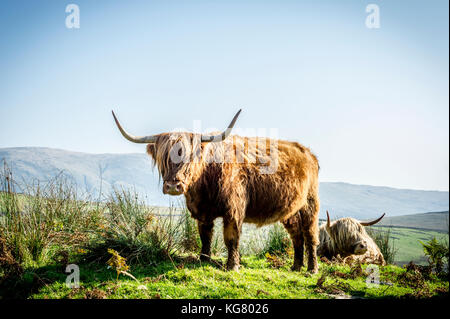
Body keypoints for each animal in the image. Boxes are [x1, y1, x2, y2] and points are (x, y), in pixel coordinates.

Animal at [112, 110, 324, 272]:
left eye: (188, 158)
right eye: (163, 159)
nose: (173, 186)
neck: (204, 183)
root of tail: (308, 152)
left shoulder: (234, 210)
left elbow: (231, 238)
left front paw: (232, 266)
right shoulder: (202, 211)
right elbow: (205, 236)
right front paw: (203, 259)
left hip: (310, 203)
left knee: (310, 234)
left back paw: (311, 269)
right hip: (291, 209)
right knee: (296, 234)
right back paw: (296, 267)